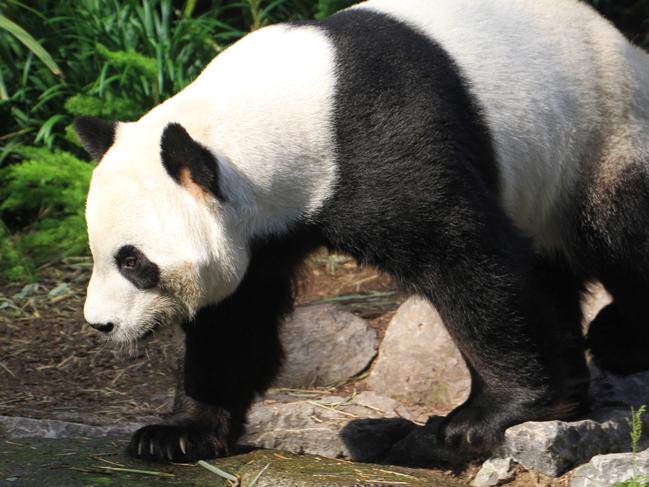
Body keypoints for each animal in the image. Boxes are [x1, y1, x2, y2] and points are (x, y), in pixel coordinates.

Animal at [73, 0, 648, 468]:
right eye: (99, 253)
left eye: (133, 261)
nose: (101, 325)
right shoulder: (264, 230)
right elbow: (234, 319)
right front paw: (174, 434)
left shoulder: (381, 143)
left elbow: (468, 260)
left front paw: (485, 416)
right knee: (552, 270)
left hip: (603, 133)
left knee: (619, 234)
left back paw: (615, 340)